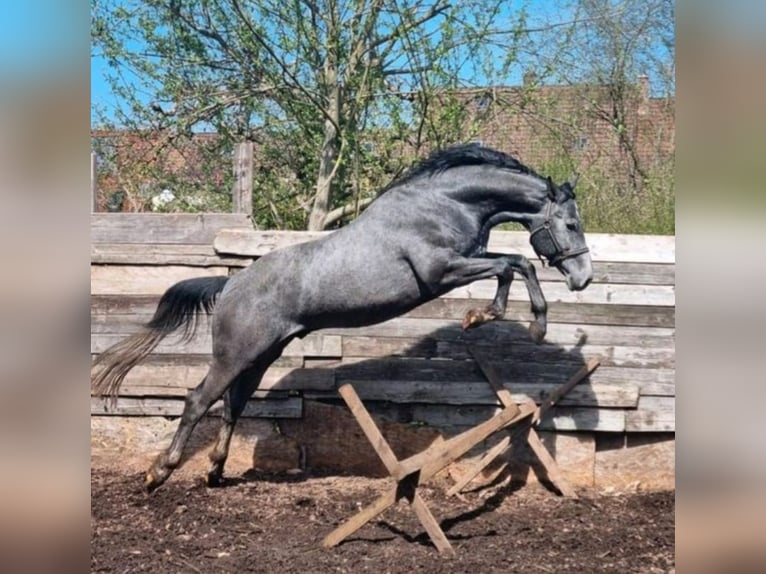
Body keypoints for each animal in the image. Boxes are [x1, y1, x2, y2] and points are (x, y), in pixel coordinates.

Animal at [91, 143, 592, 490]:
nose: (583, 278)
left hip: (260, 357)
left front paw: (489, 318)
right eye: (570, 224)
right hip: (235, 355)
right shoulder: (441, 271)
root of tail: (230, 285)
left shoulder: (467, 261)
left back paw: (216, 472)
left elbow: (514, 263)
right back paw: (160, 472)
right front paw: (519, 322)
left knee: (233, 404)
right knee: (198, 400)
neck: (444, 204)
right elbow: (513, 264)